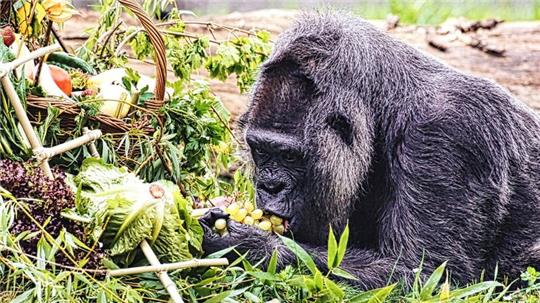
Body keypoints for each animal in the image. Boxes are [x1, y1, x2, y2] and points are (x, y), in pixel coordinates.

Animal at [200, 10, 540, 288]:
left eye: (289, 155)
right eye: (260, 150)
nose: (270, 186)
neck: (386, 107)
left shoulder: (449, 133)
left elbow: (429, 276)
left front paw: (249, 244)